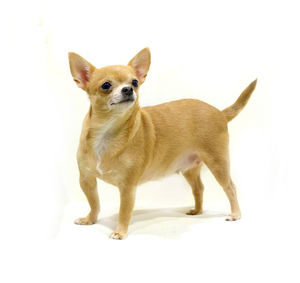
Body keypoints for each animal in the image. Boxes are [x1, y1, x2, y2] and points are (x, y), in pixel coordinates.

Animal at [68, 48, 258, 240]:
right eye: (106, 85)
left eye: (135, 82)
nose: (128, 89)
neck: (108, 132)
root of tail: (219, 112)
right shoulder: (86, 179)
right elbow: (94, 203)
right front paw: (90, 219)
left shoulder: (128, 187)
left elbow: (124, 211)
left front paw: (120, 232)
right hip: (190, 169)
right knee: (199, 188)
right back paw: (197, 210)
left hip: (218, 162)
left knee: (230, 187)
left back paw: (235, 214)